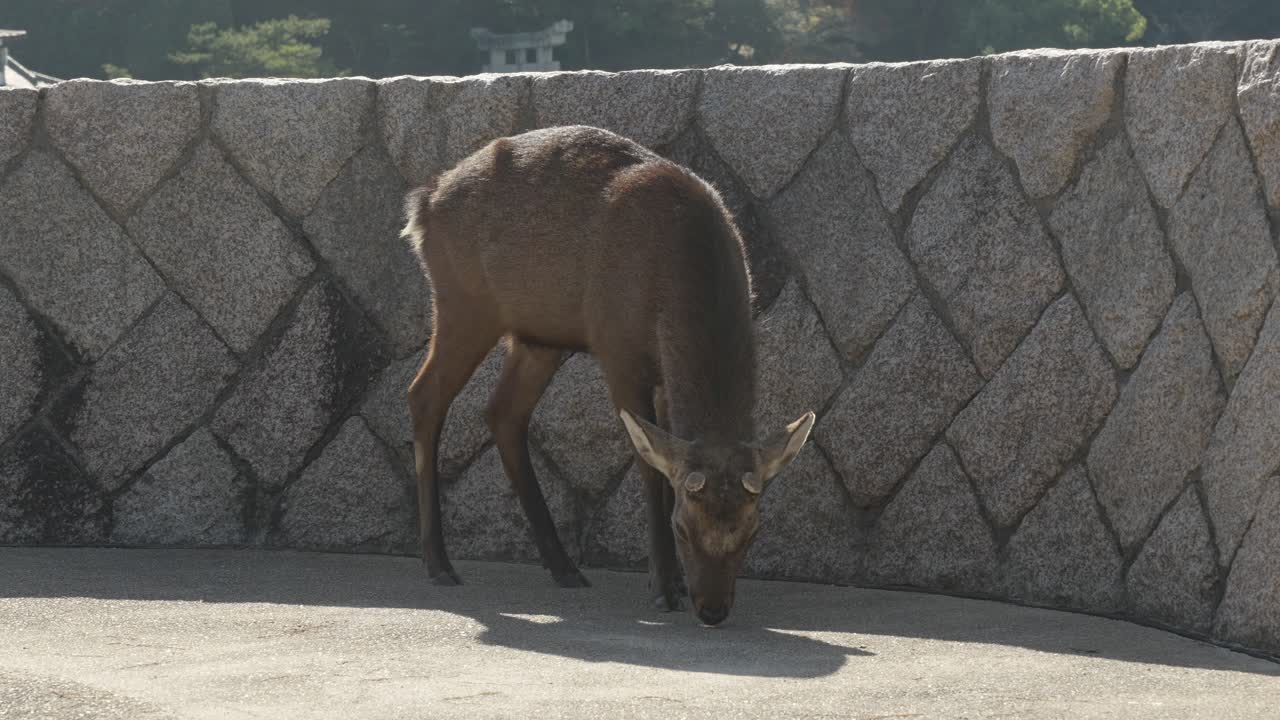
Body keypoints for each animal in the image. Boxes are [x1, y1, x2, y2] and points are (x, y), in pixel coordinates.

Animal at [401, 124, 815, 627]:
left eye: (753, 529)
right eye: (682, 526)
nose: (713, 609)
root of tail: (422, 204)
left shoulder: (661, 373)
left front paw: (672, 582)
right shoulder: (616, 349)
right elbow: (648, 465)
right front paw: (663, 587)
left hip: (538, 336)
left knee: (502, 411)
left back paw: (562, 565)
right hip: (464, 301)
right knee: (424, 395)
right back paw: (439, 563)